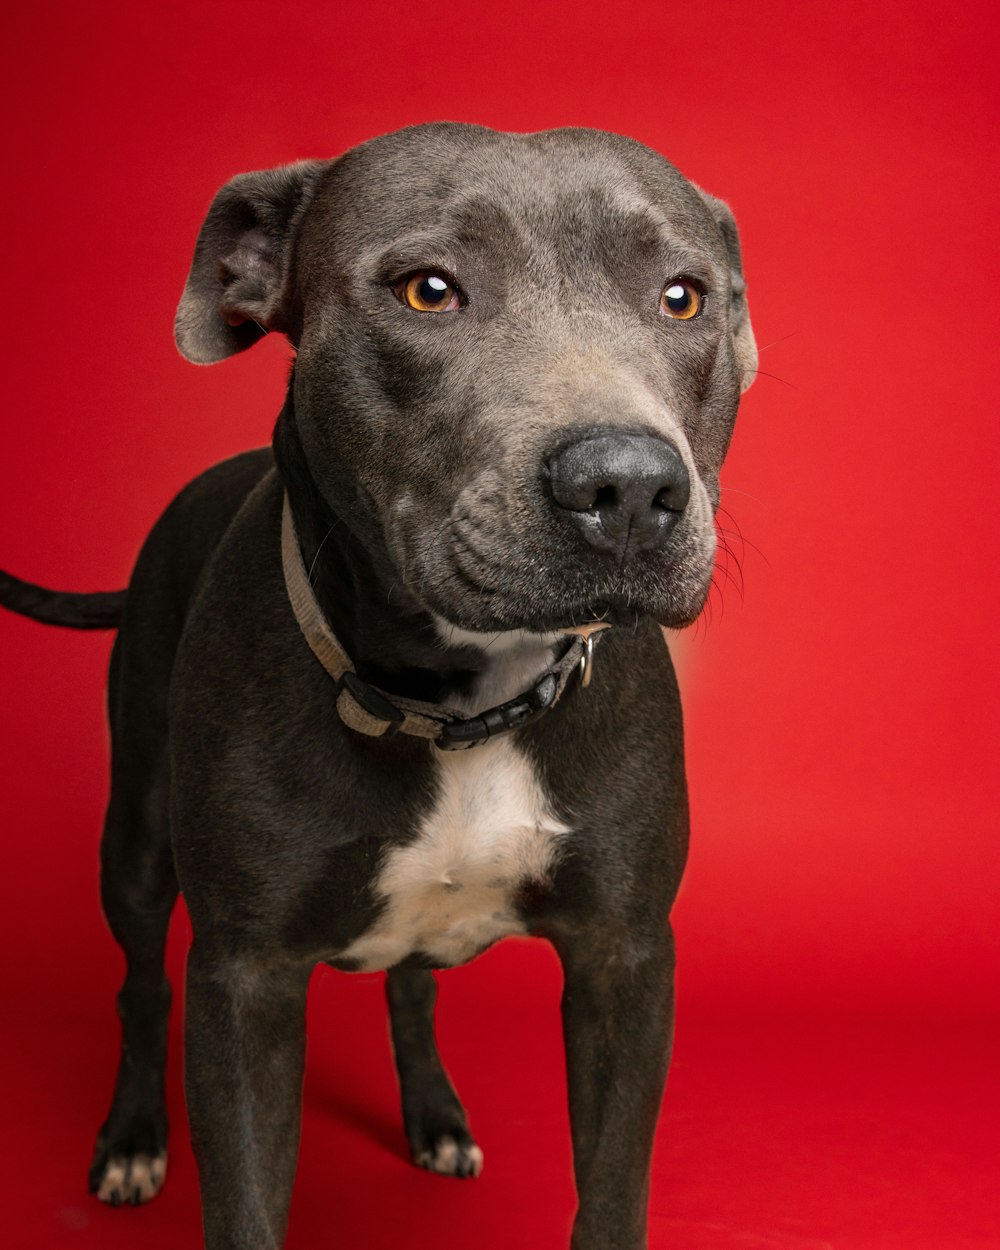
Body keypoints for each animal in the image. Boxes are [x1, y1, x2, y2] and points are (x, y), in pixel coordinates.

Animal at [0, 124, 760, 1250]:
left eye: (682, 297)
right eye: (427, 291)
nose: (626, 485)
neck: (462, 704)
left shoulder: (624, 958)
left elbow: (612, 1192)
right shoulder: (245, 978)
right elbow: (243, 1202)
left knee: (411, 991)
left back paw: (435, 1116)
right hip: (132, 840)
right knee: (140, 986)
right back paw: (132, 1140)